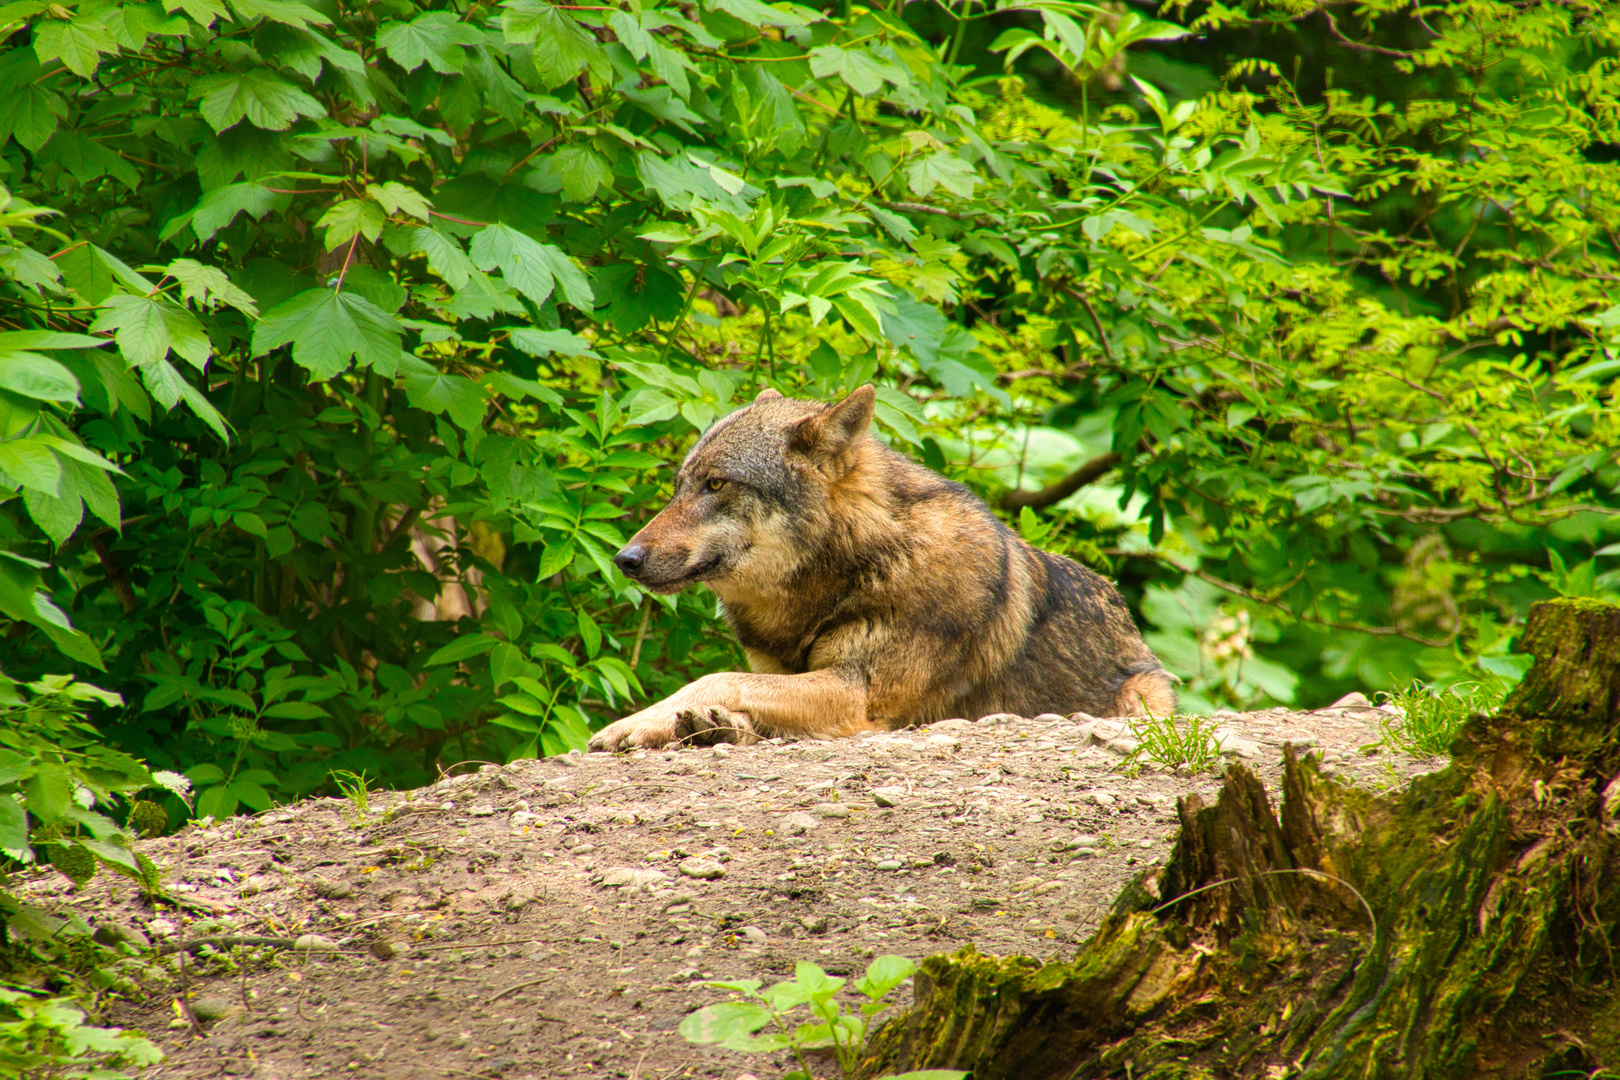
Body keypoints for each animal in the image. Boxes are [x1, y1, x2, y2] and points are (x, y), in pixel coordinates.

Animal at [589, 388, 1172, 751]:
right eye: (680, 487)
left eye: (716, 484)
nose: (625, 560)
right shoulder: (782, 673)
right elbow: (736, 687)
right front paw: (704, 726)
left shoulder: (857, 692)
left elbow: (714, 678)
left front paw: (632, 725)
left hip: (1143, 699)